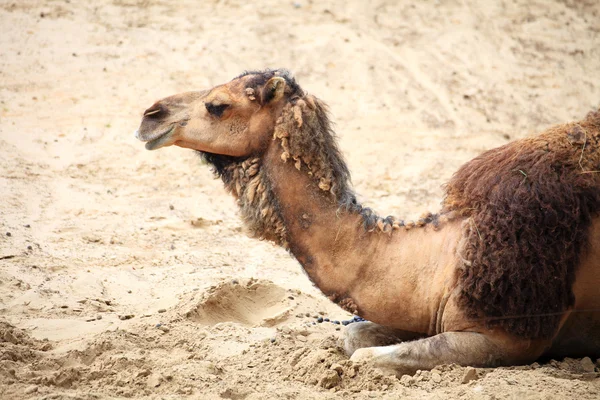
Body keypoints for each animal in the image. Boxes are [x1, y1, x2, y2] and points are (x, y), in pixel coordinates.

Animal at [135, 69, 600, 378]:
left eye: (217, 105)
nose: (150, 115)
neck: (450, 252)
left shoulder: (508, 337)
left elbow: (364, 357)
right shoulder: (424, 306)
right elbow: (354, 337)